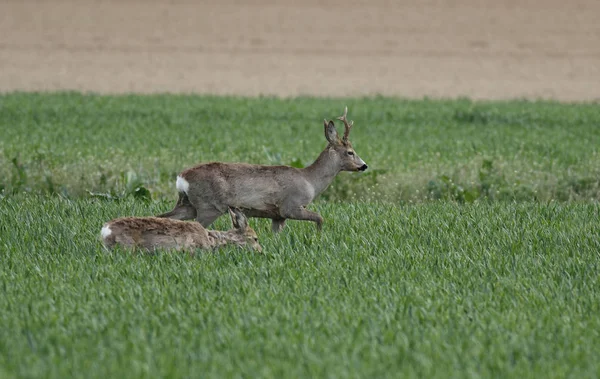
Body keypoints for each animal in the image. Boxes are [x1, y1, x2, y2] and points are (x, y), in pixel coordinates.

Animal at [157, 105, 368, 233]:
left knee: (163, 216)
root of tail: (181, 178)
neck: (310, 181)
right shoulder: (291, 206)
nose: (364, 166)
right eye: (350, 152)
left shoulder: (277, 216)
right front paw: (318, 237)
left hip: (188, 204)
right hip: (208, 206)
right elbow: (320, 218)